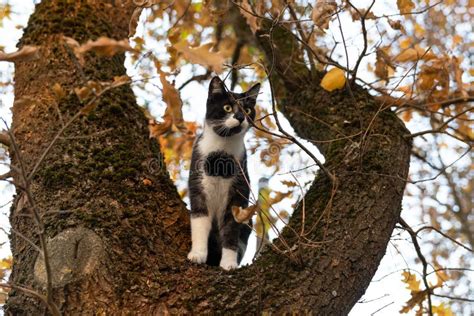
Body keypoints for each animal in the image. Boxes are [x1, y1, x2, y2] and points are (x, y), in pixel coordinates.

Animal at [187, 76, 260, 270]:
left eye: (247, 110)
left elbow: (231, 229)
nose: (240, 117)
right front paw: (197, 254)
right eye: (227, 107)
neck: (222, 151)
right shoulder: (198, 185)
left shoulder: (239, 192)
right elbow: (199, 220)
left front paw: (228, 264)